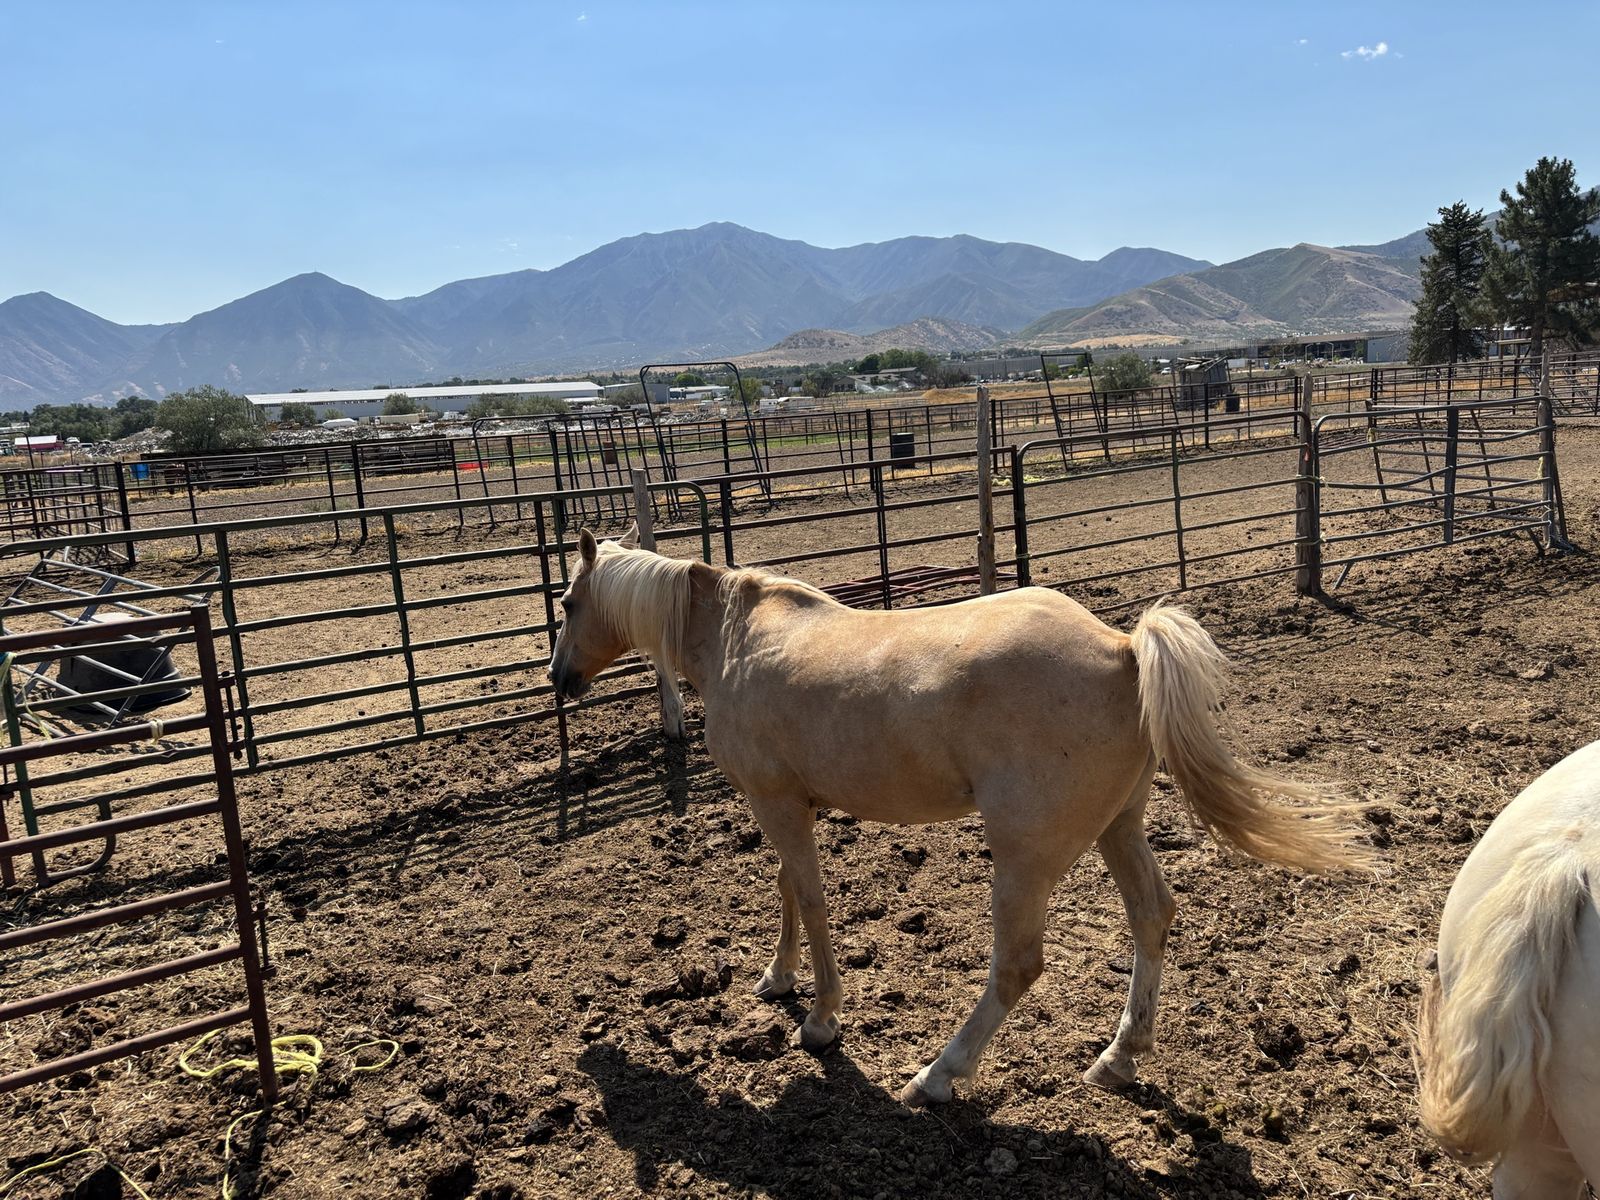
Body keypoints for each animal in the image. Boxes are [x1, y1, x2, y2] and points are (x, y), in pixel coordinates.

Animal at [549, 527, 1371, 1104]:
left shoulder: (777, 802)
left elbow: (810, 900)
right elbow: (786, 890)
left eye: (566, 604)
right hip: (1119, 827)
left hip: (1024, 858)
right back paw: (1118, 1058)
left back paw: (938, 1075)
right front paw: (777, 980)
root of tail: (1122, 648)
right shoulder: (782, 802)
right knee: (1152, 915)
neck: (734, 638)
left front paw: (822, 1019)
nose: (558, 679)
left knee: (1017, 965)